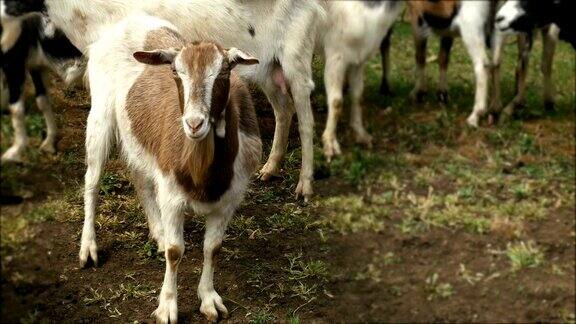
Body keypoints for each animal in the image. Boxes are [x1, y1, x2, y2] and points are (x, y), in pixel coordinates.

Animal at [0, 10, 83, 162]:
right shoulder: (34, 66)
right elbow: (42, 101)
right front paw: (49, 143)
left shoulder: (15, 63)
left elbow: (16, 108)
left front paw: (14, 152)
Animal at [80, 15, 262, 324]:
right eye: (176, 73)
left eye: (224, 73)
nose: (194, 123)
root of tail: (128, 20)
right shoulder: (172, 195)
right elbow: (176, 252)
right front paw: (167, 307)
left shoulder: (229, 199)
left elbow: (213, 248)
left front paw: (209, 300)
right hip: (100, 115)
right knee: (92, 181)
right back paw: (88, 248)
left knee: (140, 177)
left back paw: (159, 233)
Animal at [318, 0, 402, 161]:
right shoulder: (335, 56)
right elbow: (336, 102)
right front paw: (329, 143)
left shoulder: (357, 61)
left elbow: (358, 96)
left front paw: (361, 135)